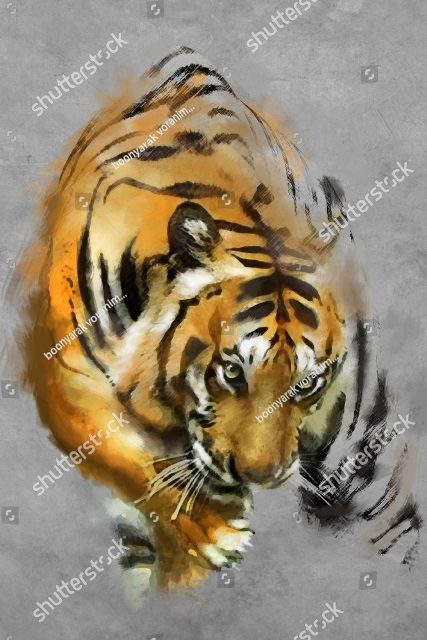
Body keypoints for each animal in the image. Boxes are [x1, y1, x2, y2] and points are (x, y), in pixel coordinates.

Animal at [17, 46, 421, 594]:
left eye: (308, 383)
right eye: (231, 372)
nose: (261, 477)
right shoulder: (67, 376)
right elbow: (132, 461)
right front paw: (213, 529)